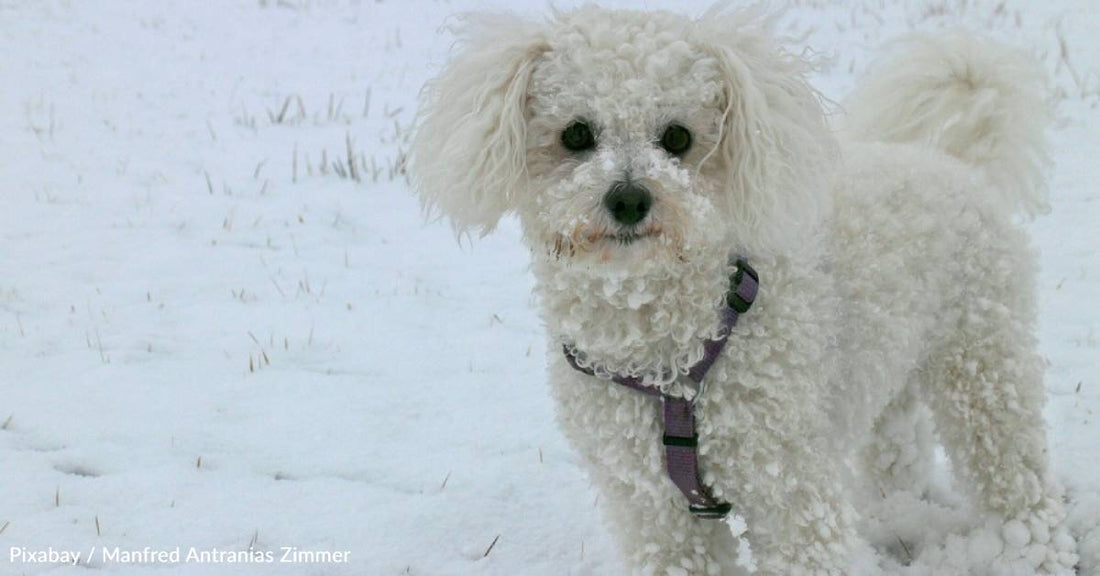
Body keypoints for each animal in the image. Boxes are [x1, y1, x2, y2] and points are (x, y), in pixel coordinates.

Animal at [411, 5, 1073, 576]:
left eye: (677, 137)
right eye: (576, 134)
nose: (629, 199)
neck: (669, 357)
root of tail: (950, 161)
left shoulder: (790, 492)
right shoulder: (655, 508)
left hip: (983, 367)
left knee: (1018, 481)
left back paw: (1033, 553)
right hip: (889, 369)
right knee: (896, 449)